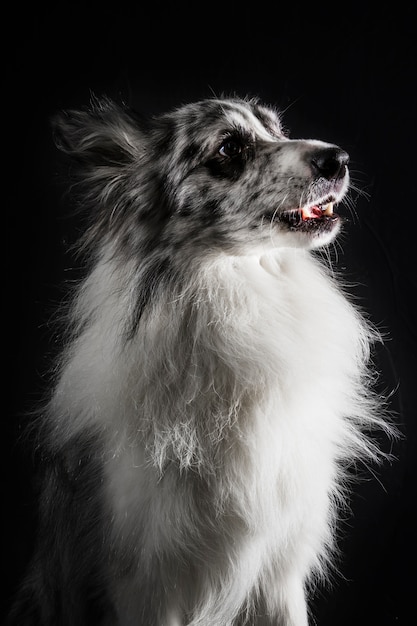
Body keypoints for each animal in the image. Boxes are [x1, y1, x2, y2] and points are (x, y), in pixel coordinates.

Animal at [8, 95, 392, 620]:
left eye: (276, 129)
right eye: (228, 147)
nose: (339, 159)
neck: (236, 296)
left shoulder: (279, 575)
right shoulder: (148, 585)